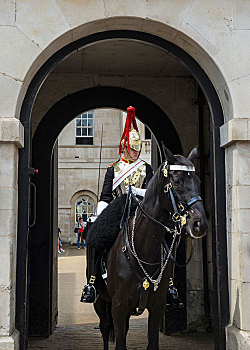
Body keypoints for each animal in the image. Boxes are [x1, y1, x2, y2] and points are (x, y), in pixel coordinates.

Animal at [93, 147, 207, 350]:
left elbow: (152, 341)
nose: (199, 224)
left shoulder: (156, 305)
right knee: (105, 328)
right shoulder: (119, 305)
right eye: (177, 182)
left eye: (198, 181)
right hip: (100, 301)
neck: (144, 248)